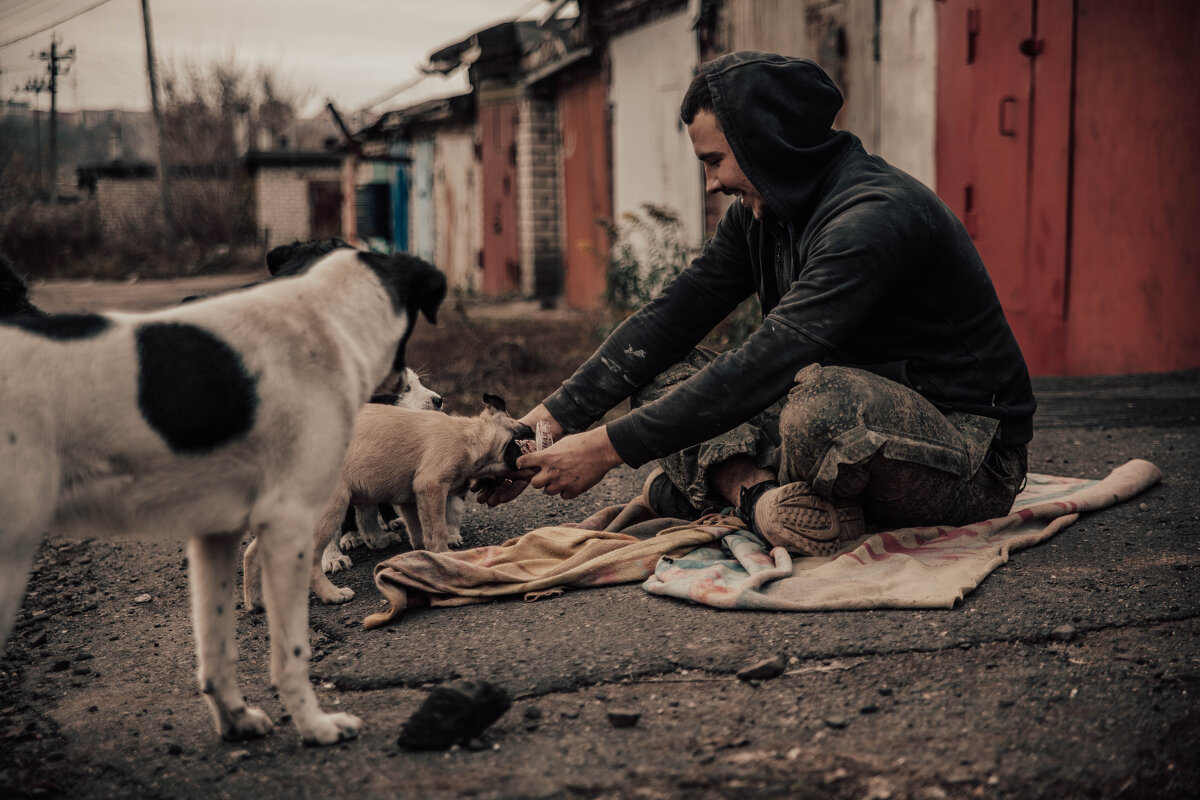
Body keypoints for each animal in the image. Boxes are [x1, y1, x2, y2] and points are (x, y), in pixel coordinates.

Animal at [0, 242, 446, 743]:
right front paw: (315, 723)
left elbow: (216, 648)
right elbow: (291, 649)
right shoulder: (293, 510)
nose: (439, 401)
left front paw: (238, 718)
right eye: (404, 383)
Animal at [243, 393, 530, 606]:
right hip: (328, 509)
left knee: (252, 551)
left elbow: (420, 531)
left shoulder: (411, 499)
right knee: (311, 560)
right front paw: (445, 555)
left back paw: (256, 601)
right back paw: (332, 594)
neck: (468, 436)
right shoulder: (431, 485)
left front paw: (422, 557)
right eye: (522, 430)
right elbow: (436, 529)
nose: (534, 431)